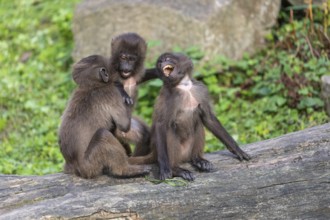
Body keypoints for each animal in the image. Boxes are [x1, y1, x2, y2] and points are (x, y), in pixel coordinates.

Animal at [129, 52, 250, 181]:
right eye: (159, 62)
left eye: (167, 59)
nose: (162, 63)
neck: (184, 86)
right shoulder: (168, 95)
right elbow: (161, 124)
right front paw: (166, 169)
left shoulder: (201, 89)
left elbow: (208, 118)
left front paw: (238, 150)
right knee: (170, 131)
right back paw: (175, 169)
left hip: (188, 151)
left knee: (198, 125)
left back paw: (197, 159)